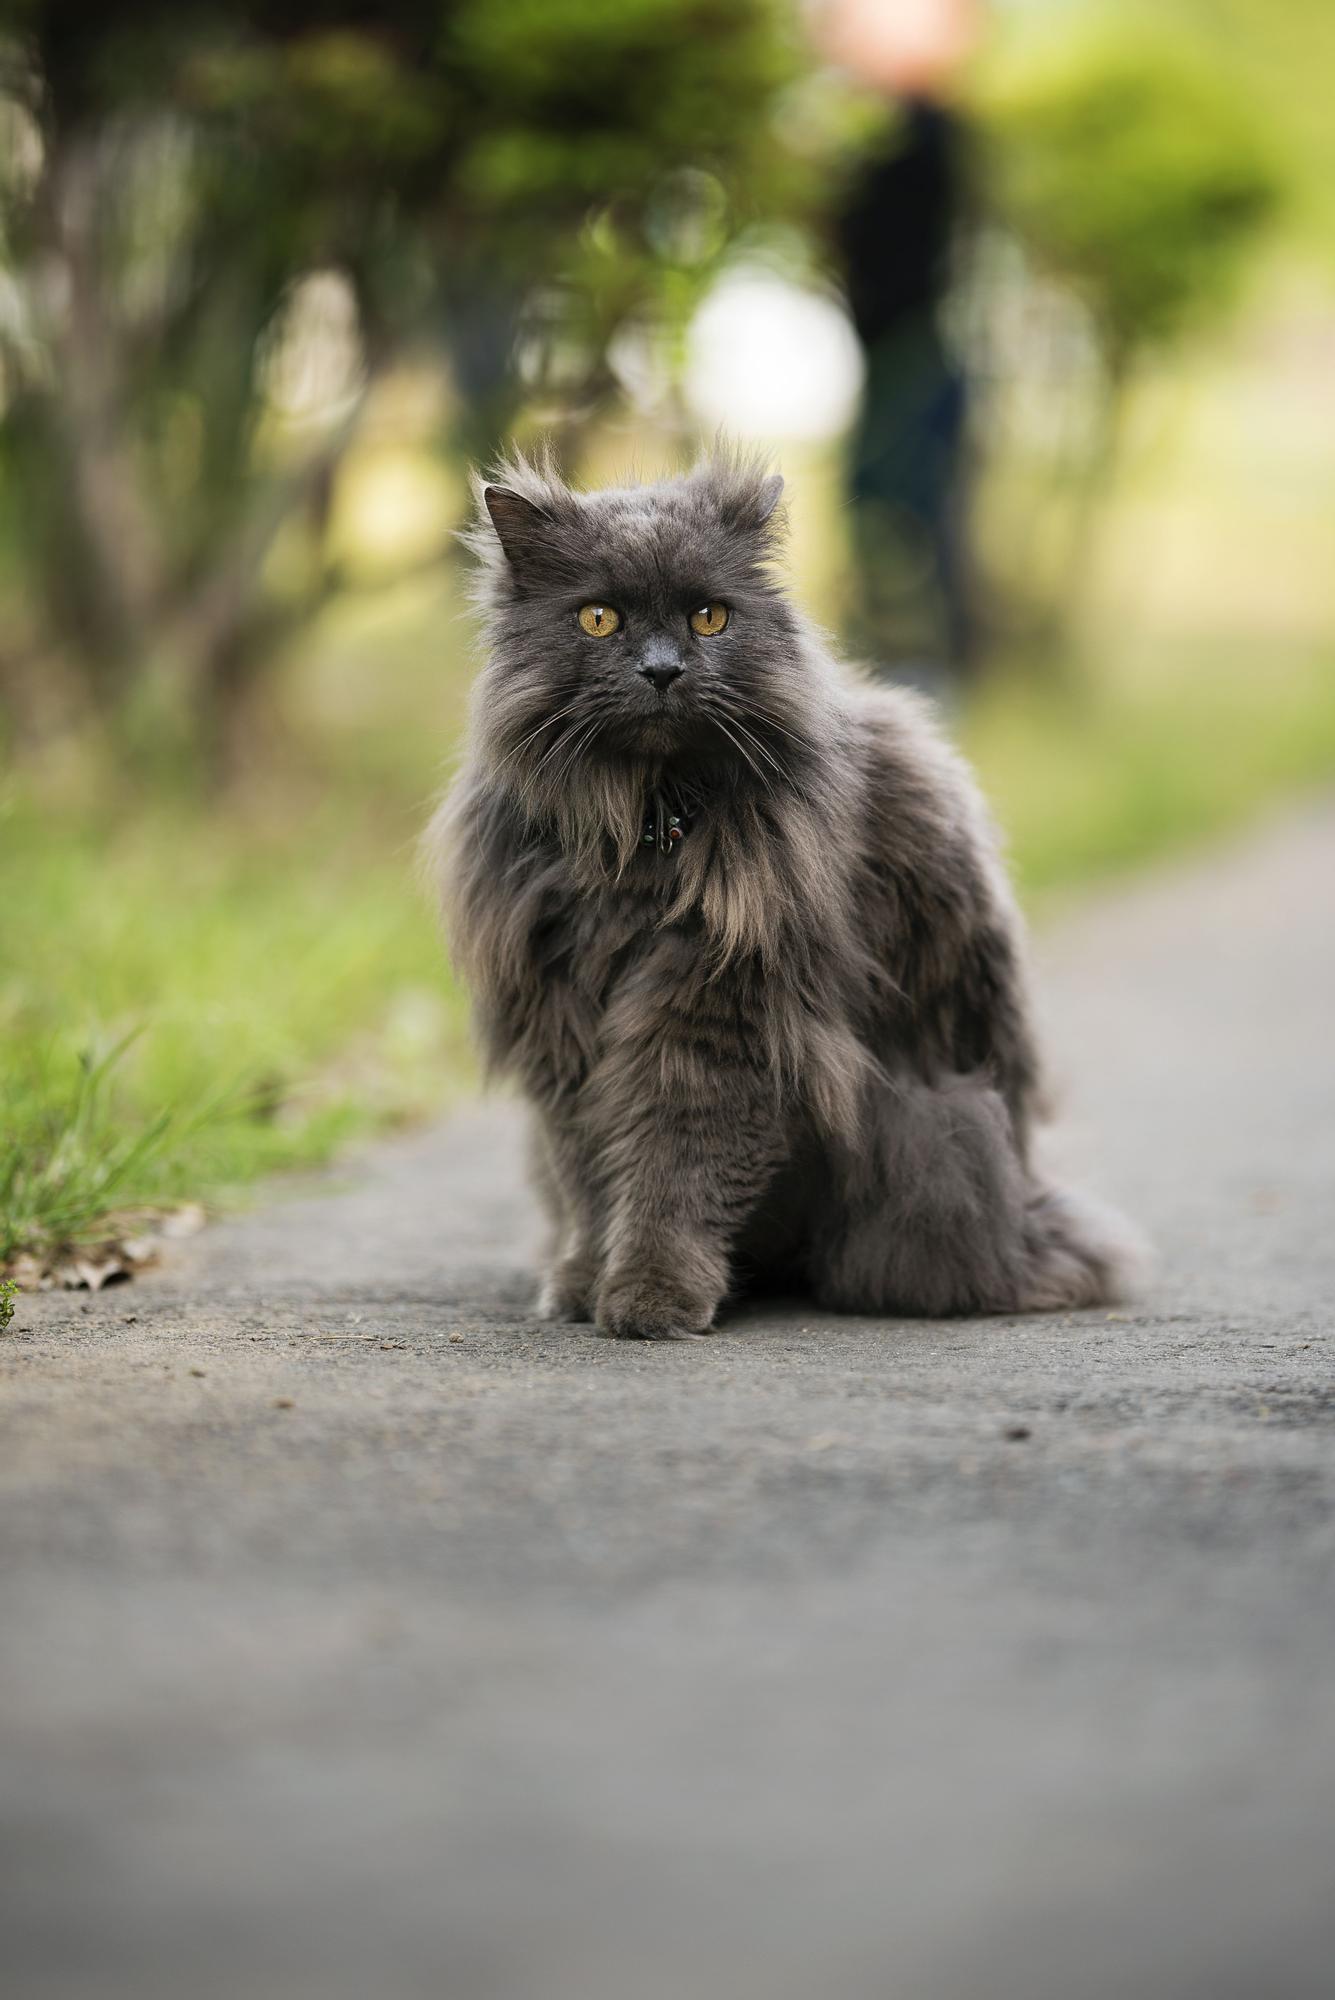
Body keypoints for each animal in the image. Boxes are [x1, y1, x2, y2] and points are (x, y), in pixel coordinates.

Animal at [427, 454, 1135, 1344]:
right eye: (597, 619)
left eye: (708, 618)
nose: (662, 670)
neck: (644, 832)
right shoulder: (566, 1030)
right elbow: (589, 1178)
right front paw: (581, 1285)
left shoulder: (719, 1021)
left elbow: (672, 1171)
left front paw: (650, 1298)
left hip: (934, 1134)